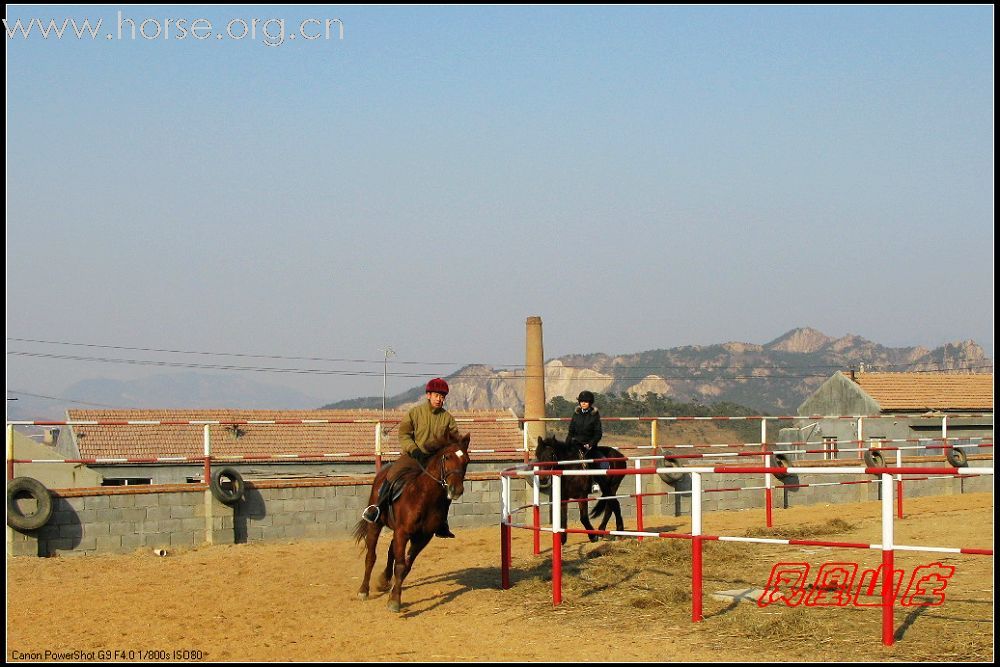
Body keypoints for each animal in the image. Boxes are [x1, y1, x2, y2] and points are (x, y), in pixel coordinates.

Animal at [356, 430, 472, 612]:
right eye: (447, 457)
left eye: (466, 460)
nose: (456, 490)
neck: (424, 497)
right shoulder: (402, 532)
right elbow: (400, 565)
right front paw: (394, 601)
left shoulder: (422, 538)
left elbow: (406, 565)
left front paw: (394, 595)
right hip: (376, 525)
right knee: (371, 556)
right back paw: (363, 590)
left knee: (391, 551)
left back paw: (384, 580)